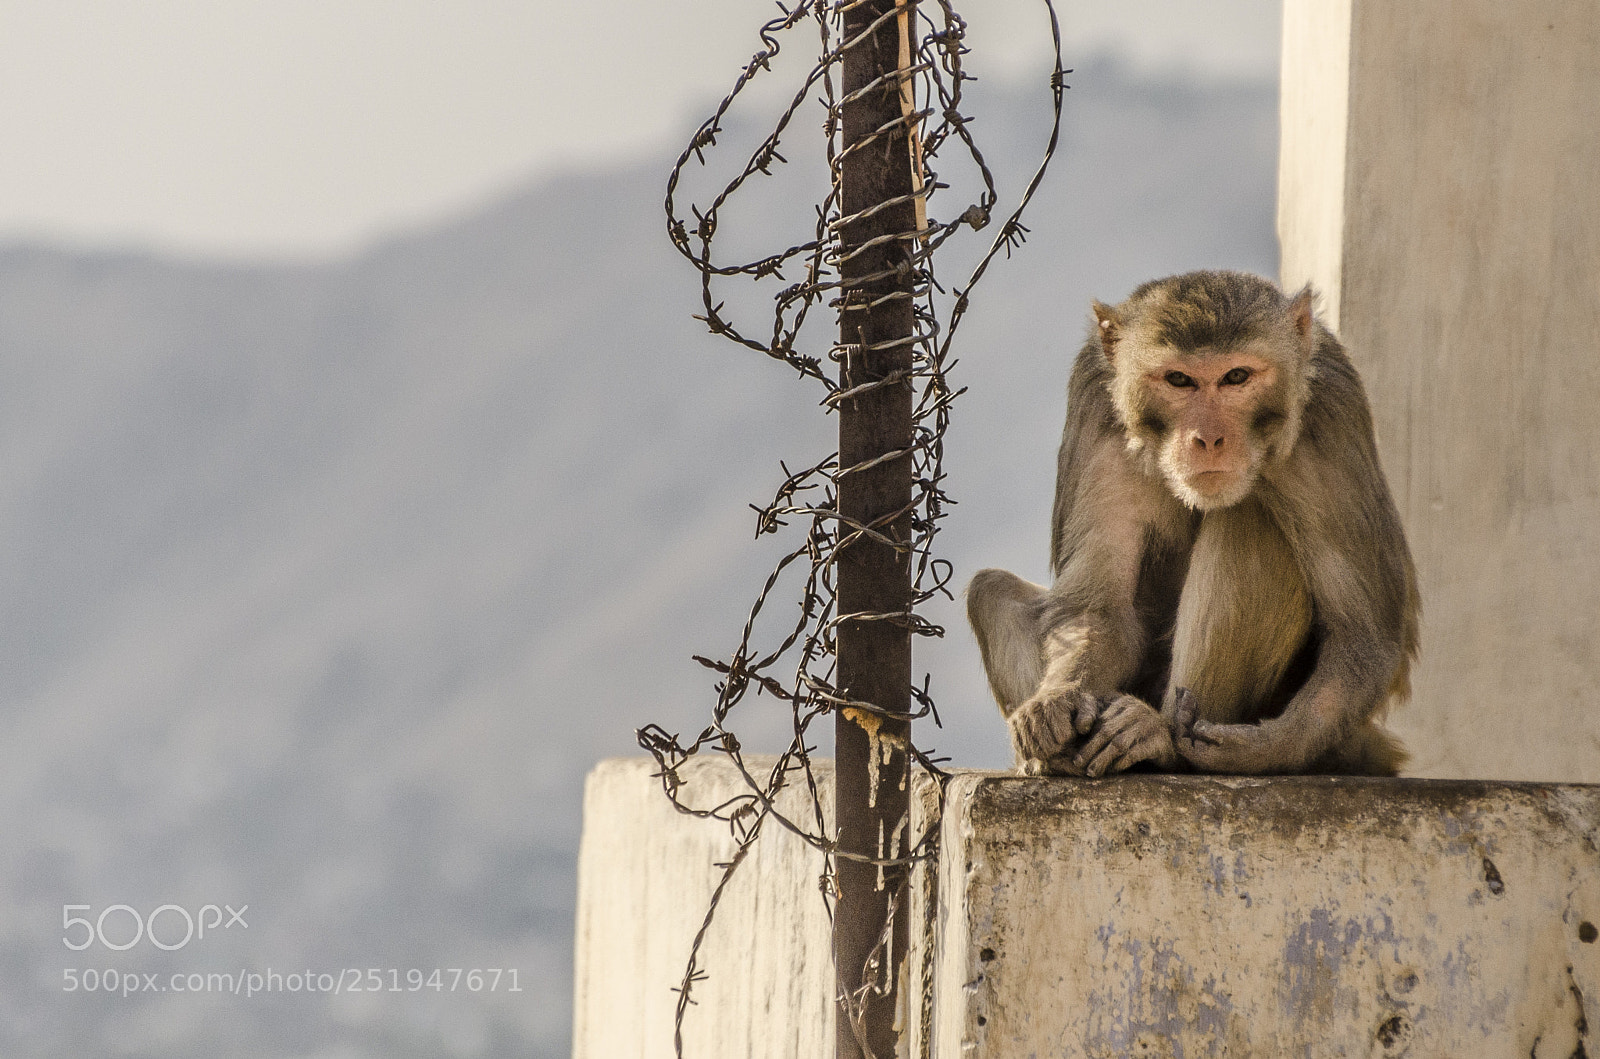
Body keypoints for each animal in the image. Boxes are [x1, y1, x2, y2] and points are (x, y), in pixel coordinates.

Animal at [967, 270, 1419, 777]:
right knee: (989, 591)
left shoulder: (1332, 413)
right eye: (1179, 380)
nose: (1208, 439)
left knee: (1248, 521)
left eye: (1236, 377)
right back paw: (1058, 758)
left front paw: (1260, 749)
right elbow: (1097, 608)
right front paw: (1059, 701)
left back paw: (1159, 740)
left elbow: (1364, 636)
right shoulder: (1095, 404)